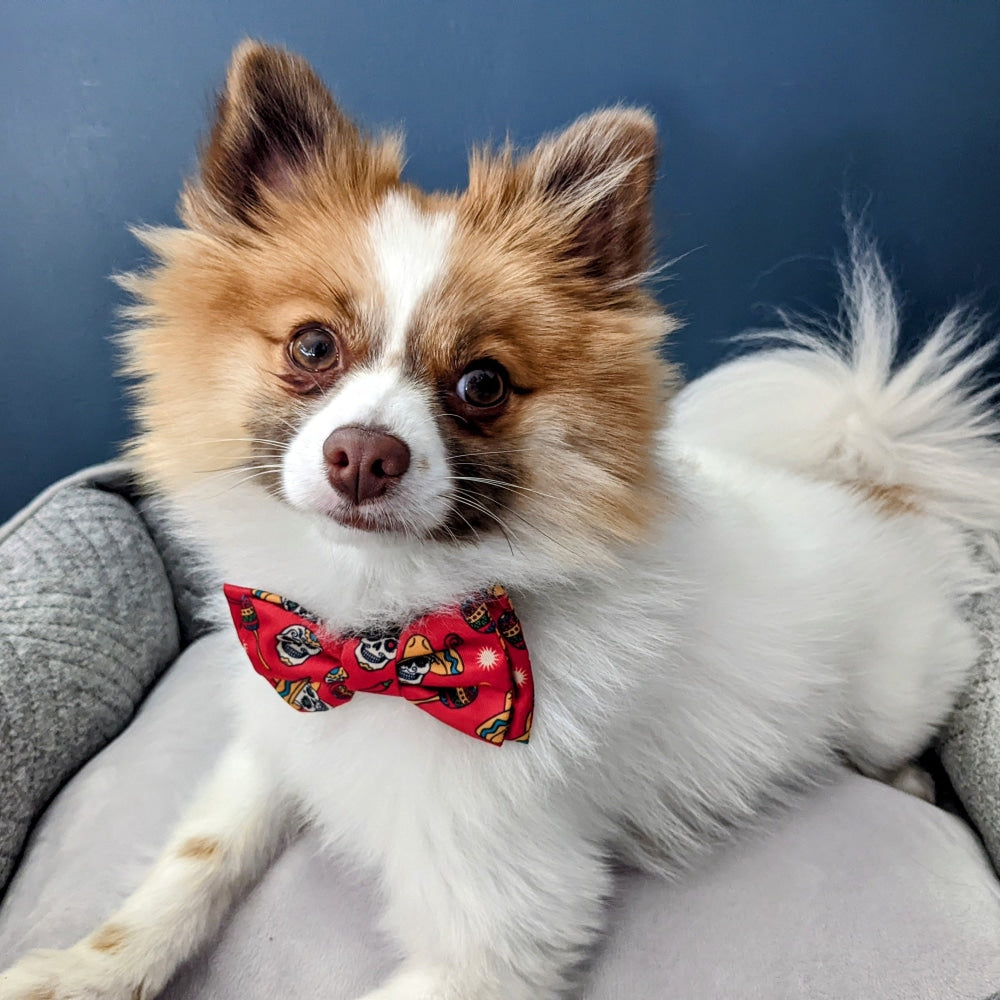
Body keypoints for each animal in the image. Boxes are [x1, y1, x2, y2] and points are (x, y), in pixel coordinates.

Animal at [3, 37, 996, 1000]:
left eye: (482, 383)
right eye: (313, 347)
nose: (364, 454)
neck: (377, 633)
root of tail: (873, 480)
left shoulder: (501, 929)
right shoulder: (280, 738)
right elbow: (191, 862)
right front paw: (84, 969)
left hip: (891, 696)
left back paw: (909, 777)